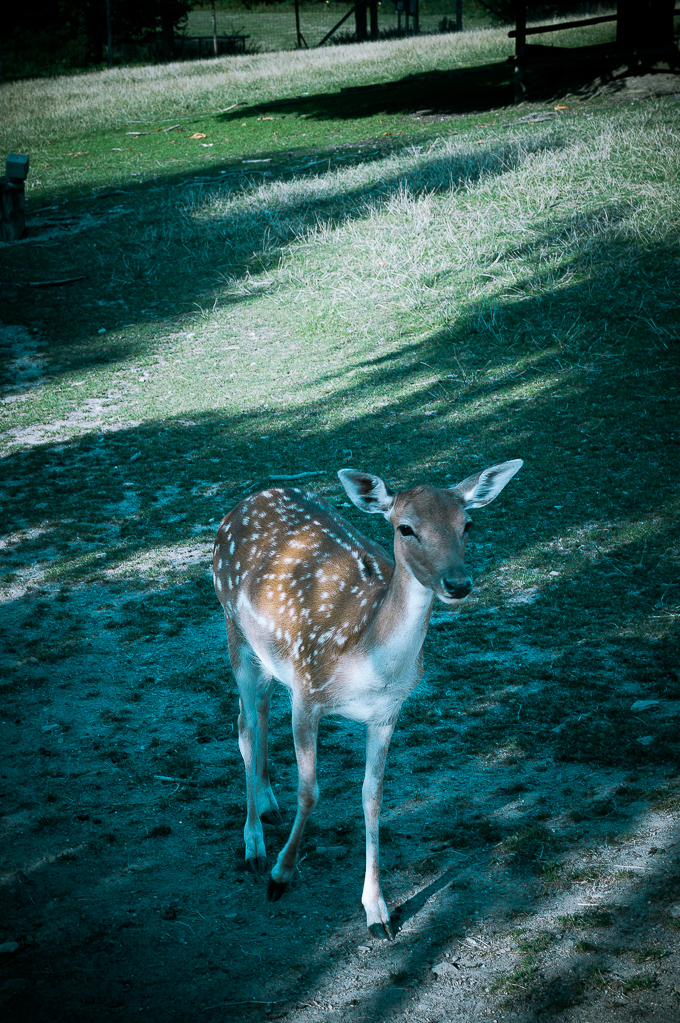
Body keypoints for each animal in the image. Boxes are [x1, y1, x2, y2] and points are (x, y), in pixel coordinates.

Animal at [212, 459, 522, 939]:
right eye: (406, 528)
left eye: (467, 523)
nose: (458, 583)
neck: (369, 665)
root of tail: (244, 502)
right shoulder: (307, 692)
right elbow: (310, 792)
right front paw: (281, 875)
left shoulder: (387, 713)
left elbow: (372, 796)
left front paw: (378, 911)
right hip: (235, 632)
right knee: (244, 726)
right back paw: (254, 847)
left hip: (270, 657)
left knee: (259, 713)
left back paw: (267, 803)